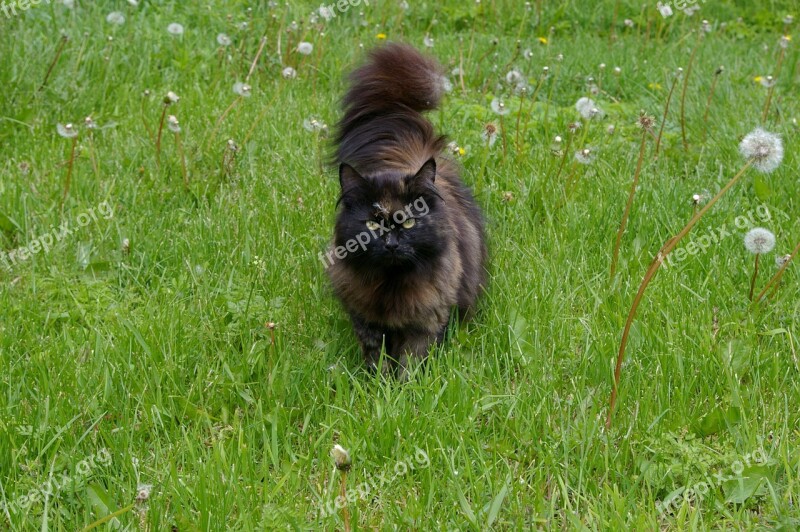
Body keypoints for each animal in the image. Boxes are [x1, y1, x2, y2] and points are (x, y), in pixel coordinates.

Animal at [324, 43, 488, 378]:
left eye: (409, 223)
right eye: (373, 224)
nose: (391, 244)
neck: (392, 285)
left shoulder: (426, 321)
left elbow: (411, 362)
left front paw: (406, 387)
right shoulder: (367, 323)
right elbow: (377, 358)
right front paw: (378, 384)